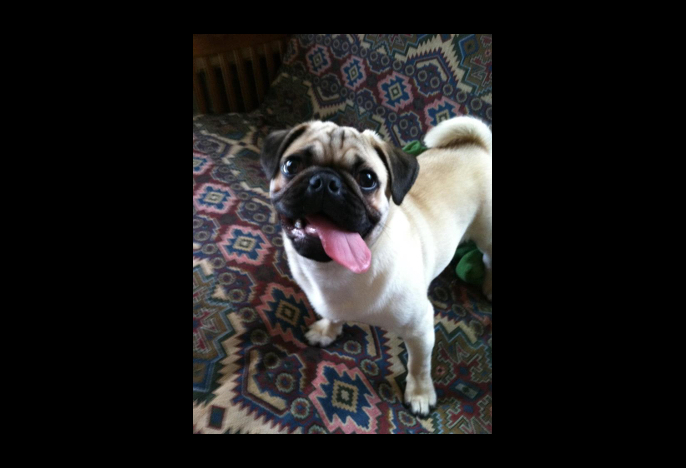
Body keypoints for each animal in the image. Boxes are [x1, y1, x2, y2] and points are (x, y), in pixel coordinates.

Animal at [260, 115, 492, 414]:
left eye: (367, 179)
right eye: (291, 165)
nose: (325, 180)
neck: (335, 271)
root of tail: (476, 146)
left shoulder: (420, 328)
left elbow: (419, 365)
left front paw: (420, 394)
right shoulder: (332, 305)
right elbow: (333, 315)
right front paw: (327, 331)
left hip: (488, 234)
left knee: (487, 258)